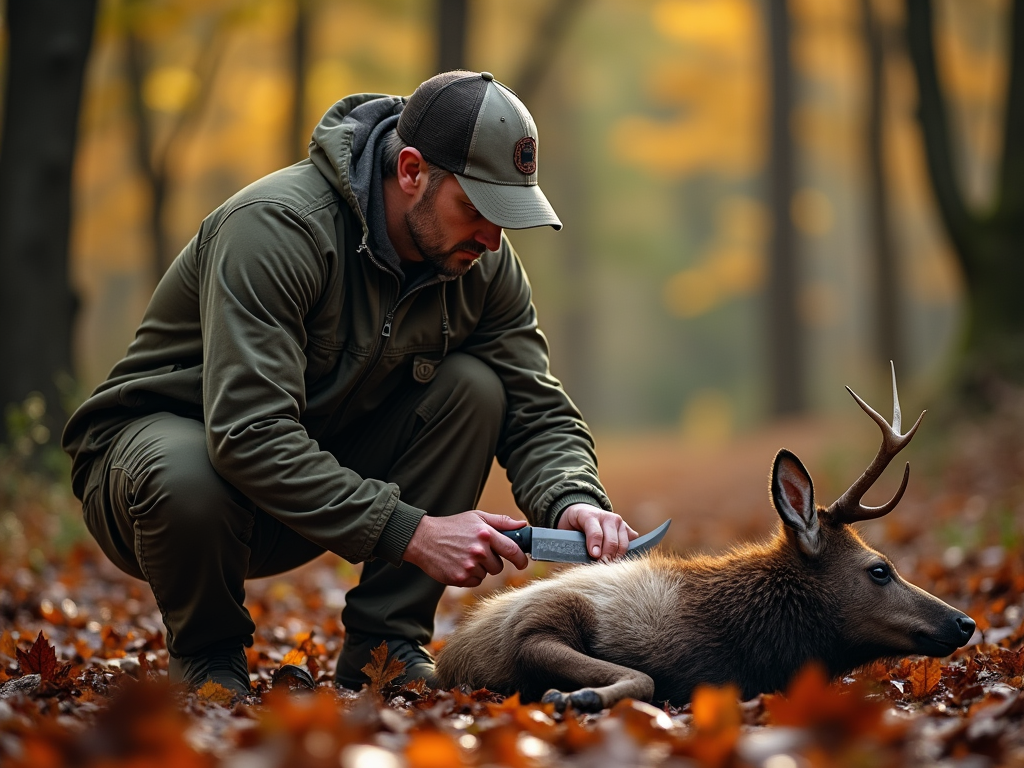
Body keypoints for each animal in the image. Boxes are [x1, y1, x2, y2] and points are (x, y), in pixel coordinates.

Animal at [434, 370, 974, 712]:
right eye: (879, 569)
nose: (965, 621)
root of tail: (449, 653)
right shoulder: (531, 629)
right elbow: (647, 677)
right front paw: (575, 696)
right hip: (540, 621)